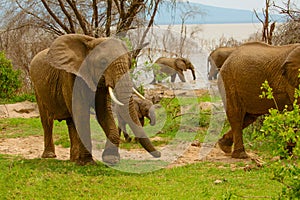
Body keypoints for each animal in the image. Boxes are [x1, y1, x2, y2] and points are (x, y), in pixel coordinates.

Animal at [30, 34, 161, 166]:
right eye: (103, 62)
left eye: (129, 63)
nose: (159, 154)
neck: (91, 41)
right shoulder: (70, 76)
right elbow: (81, 112)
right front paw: (87, 163)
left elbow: (103, 111)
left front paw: (111, 159)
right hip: (37, 89)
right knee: (47, 121)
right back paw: (50, 156)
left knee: (71, 121)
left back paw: (73, 159)